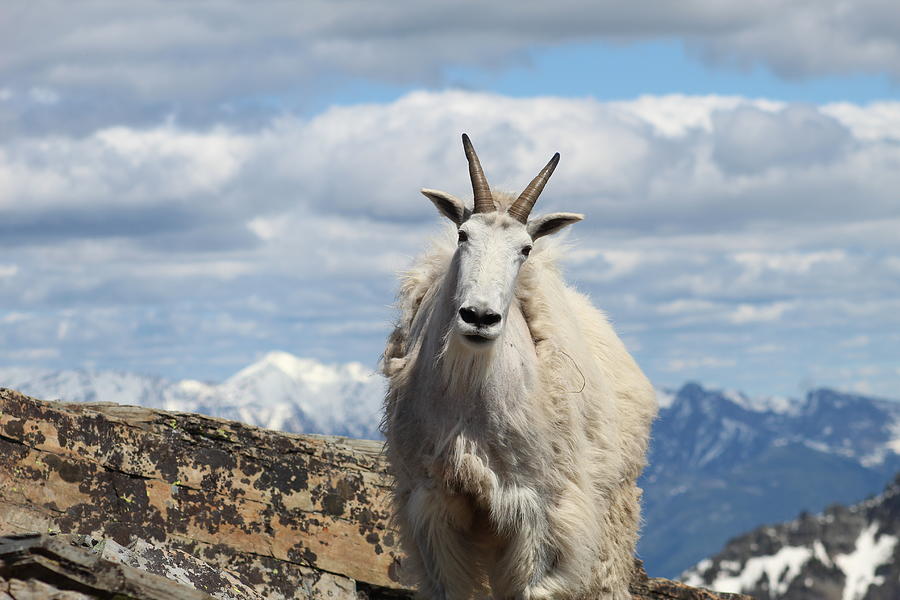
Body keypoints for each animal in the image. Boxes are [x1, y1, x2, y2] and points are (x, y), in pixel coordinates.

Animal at [380, 136, 652, 600]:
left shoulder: (537, 511)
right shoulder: (434, 502)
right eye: (463, 235)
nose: (480, 317)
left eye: (525, 249)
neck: (468, 398)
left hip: (611, 513)